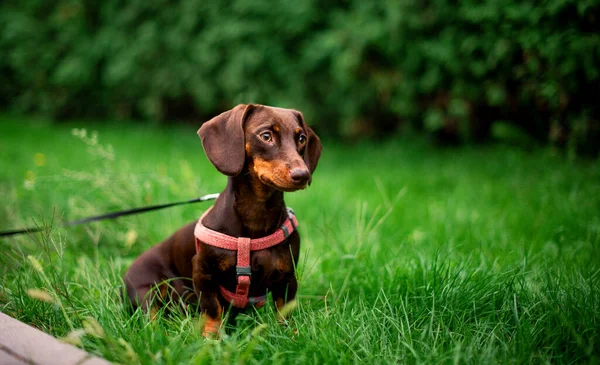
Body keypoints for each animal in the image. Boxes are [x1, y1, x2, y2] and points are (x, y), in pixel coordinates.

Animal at [123, 103, 324, 336]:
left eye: (301, 138)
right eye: (266, 136)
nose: (303, 175)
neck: (257, 215)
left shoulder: (287, 277)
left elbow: (285, 311)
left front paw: (289, 335)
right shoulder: (203, 273)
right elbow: (212, 309)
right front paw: (211, 337)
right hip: (147, 292)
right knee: (151, 317)